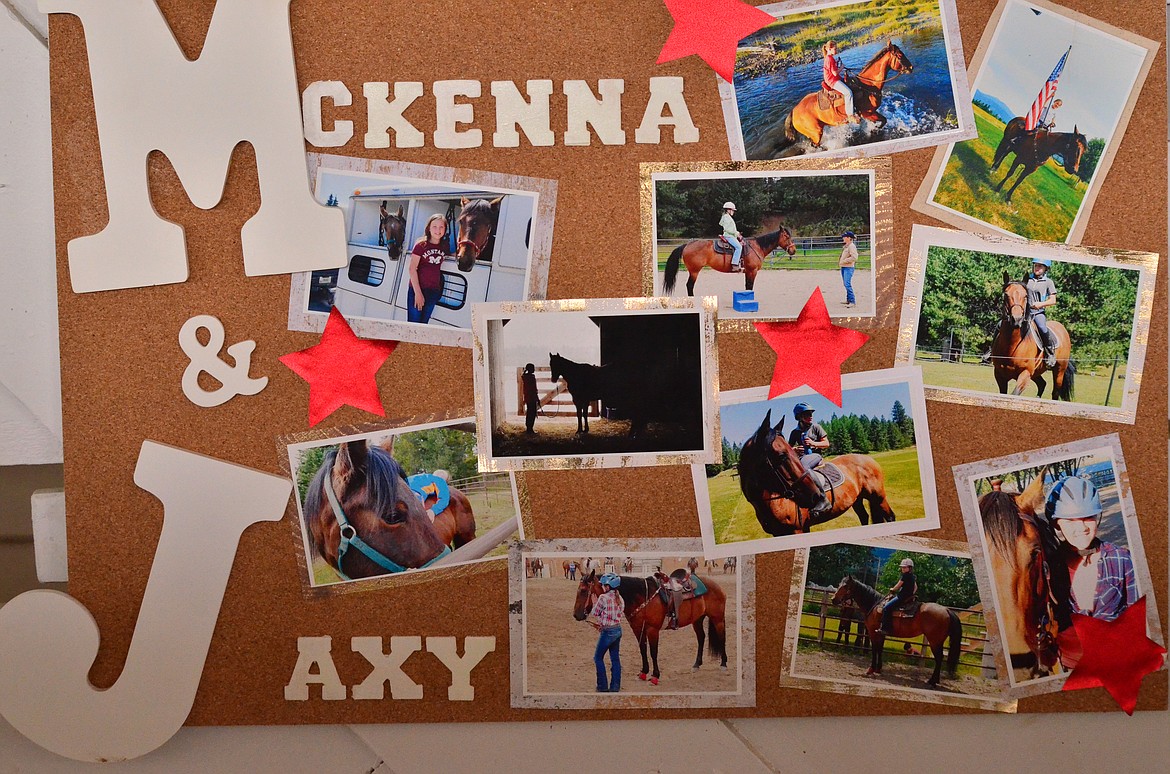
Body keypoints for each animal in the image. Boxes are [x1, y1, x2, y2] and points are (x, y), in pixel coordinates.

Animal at [570, 570, 725, 687]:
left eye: (583, 590)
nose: (576, 615)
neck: (641, 596)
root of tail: (715, 585)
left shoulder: (652, 630)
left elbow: (653, 652)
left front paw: (655, 676)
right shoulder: (638, 628)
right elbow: (643, 649)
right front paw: (643, 672)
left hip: (717, 619)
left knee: (721, 637)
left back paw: (723, 664)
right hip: (697, 620)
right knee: (701, 638)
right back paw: (697, 664)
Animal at [664, 225, 800, 298]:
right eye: (787, 236)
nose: (793, 250)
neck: (757, 247)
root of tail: (687, 245)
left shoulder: (747, 272)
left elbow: (747, 286)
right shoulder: (753, 271)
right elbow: (750, 286)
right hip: (694, 271)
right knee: (689, 286)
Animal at [739, 411, 893, 540]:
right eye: (782, 455)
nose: (816, 496)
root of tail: (868, 459)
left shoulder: (798, 530)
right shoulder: (779, 534)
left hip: (878, 498)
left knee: (890, 516)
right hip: (858, 499)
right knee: (864, 517)